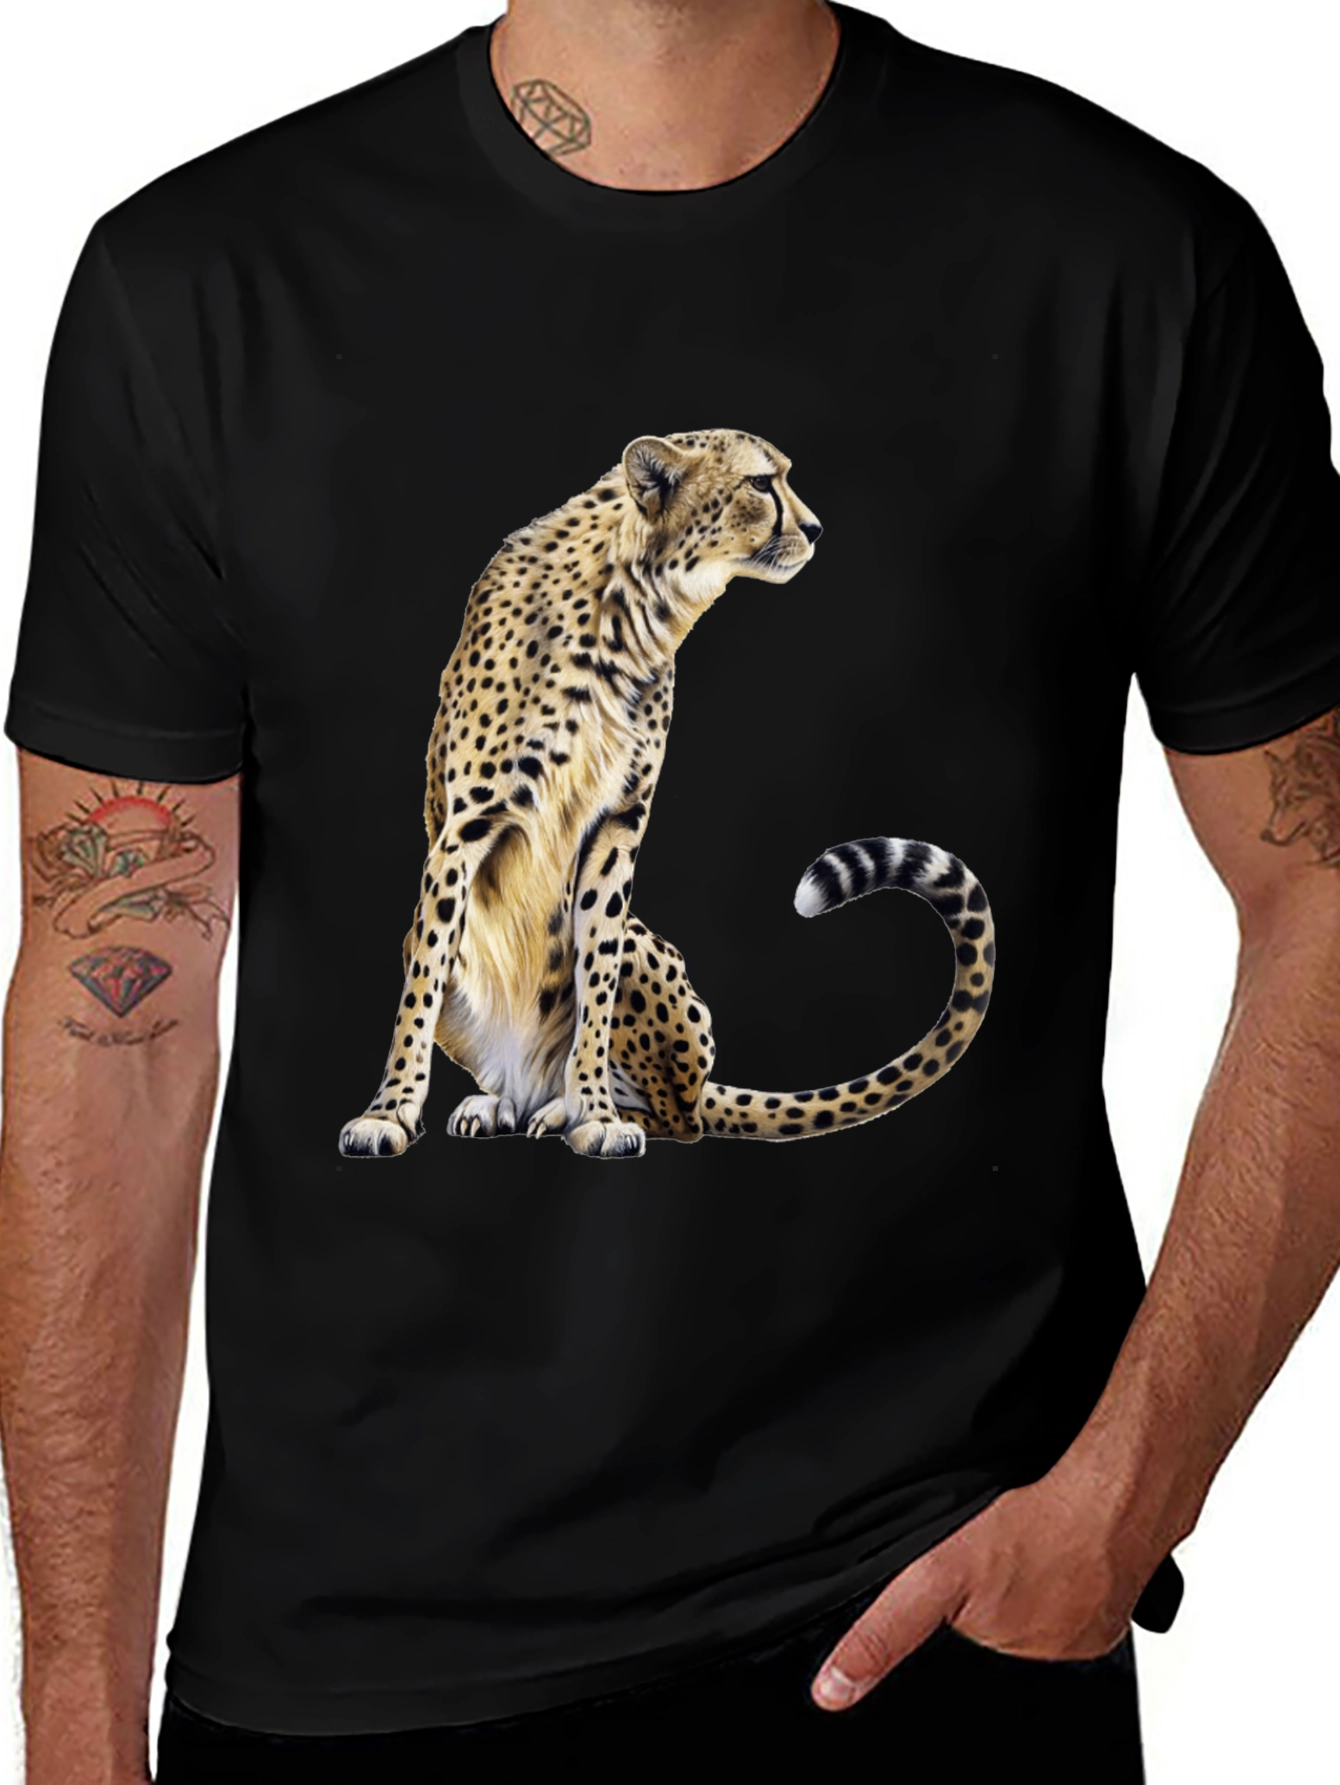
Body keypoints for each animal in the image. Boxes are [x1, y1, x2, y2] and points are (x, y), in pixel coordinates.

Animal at [338, 429, 994, 1161]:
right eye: (762, 483)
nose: (816, 529)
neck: (630, 609)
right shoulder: (464, 830)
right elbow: (419, 991)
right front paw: (389, 1113)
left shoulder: (616, 830)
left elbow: (595, 979)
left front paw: (593, 1112)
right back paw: (500, 1103)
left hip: (652, 972)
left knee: (682, 1116)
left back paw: (564, 1109)